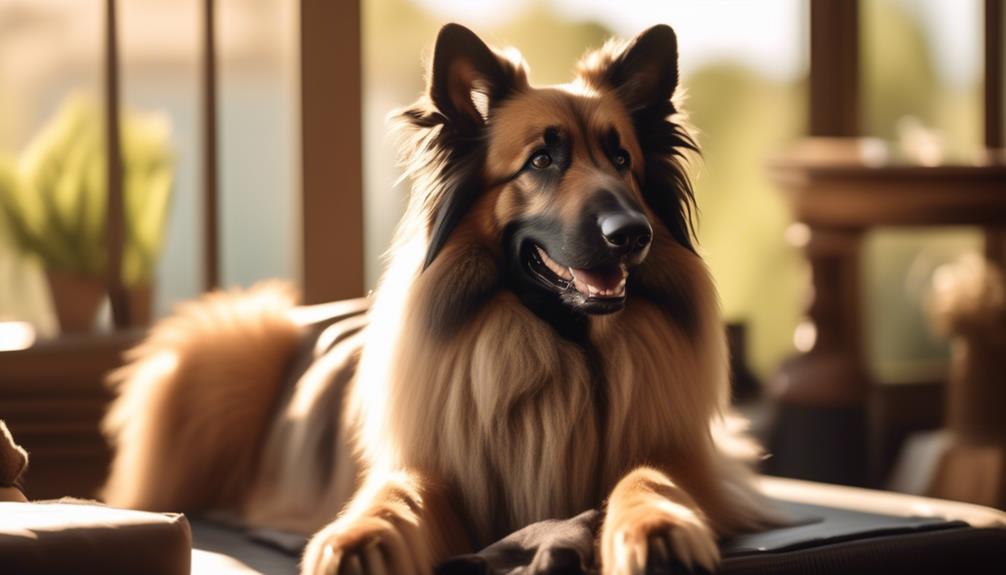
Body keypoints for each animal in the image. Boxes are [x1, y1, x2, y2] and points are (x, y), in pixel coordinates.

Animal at [102, 22, 776, 575]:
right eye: (541, 159)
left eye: (622, 159)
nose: (631, 234)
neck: (563, 349)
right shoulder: (434, 474)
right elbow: (395, 496)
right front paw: (359, 539)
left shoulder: (696, 465)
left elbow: (650, 476)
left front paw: (657, 527)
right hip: (223, 350)